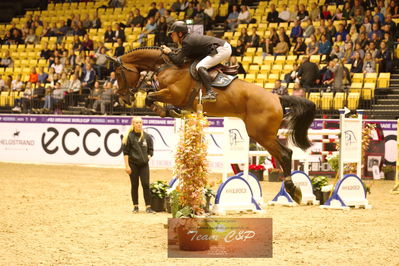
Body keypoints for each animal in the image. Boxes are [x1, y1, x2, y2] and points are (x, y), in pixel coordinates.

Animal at [107, 46, 318, 202]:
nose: (124, 98)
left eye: (118, 72)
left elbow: (150, 96)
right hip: (263, 134)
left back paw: (293, 190)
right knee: (284, 154)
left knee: (285, 154)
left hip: (261, 134)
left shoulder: (173, 93)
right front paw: (170, 111)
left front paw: (164, 111)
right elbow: (151, 94)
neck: (166, 66)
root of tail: (276, 98)